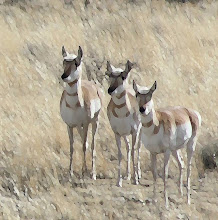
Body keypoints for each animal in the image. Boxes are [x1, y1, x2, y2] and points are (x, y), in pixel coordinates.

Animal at [59, 45, 103, 180]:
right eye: (64, 61)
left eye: (76, 62)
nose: (64, 76)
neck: (74, 105)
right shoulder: (69, 126)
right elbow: (72, 147)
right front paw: (70, 173)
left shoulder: (86, 123)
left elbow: (84, 146)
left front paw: (84, 172)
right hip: (79, 126)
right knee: (87, 142)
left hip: (95, 122)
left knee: (92, 144)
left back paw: (93, 173)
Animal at [134, 80, 202, 208]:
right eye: (137, 95)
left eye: (150, 95)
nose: (142, 109)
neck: (156, 125)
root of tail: (190, 112)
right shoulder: (153, 153)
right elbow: (155, 174)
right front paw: (154, 200)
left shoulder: (166, 152)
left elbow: (164, 174)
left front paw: (165, 203)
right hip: (175, 150)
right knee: (181, 164)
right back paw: (180, 194)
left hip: (189, 145)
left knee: (189, 168)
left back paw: (187, 199)